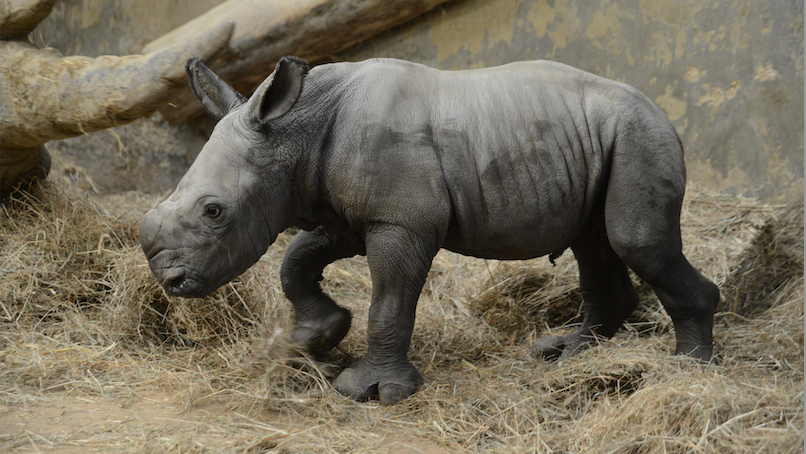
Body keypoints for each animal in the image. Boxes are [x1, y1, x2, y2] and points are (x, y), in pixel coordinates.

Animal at [140, 56, 720, 405]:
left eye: (214, 211)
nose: (172, 283)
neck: (294, 131)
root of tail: (662, 112)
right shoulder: (348, 213)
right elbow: (295, 262)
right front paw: (313, 338)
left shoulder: (400, 221)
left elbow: (389, 301)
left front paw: (373, 391)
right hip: (601, 140)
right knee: (593, 244)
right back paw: (565, 353)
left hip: (638, 134)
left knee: (634, 241)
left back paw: (687, 370)